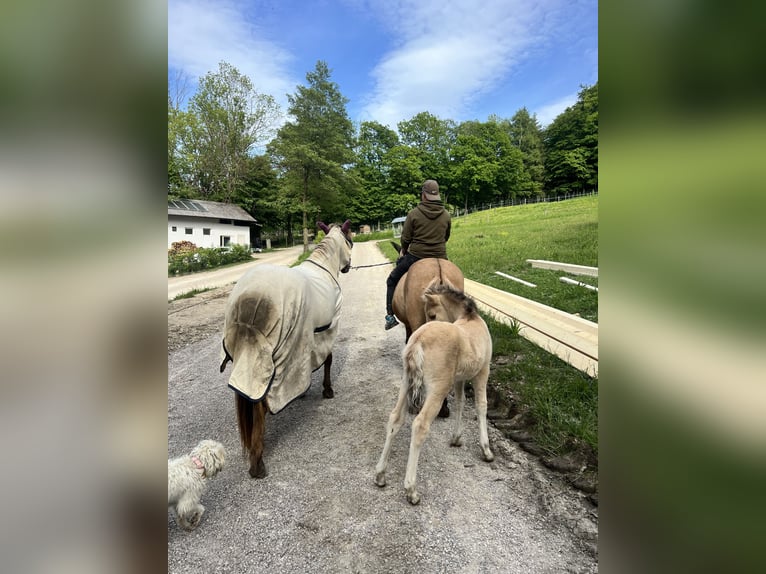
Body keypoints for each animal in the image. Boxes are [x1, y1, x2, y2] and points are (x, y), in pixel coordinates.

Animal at [219, 220, 353, 478]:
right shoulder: (328, 329)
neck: (324, 267)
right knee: (260, 405)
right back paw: (257, 463)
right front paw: (327, 390)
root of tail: (249, 298)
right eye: (350, 238)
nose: (348, 267)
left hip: (247, 358)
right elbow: (328, 360)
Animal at [374, 283, 494, 505]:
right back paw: (411, 490)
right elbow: (481, 405)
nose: (425, 321)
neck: (469, 319)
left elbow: (461, 402)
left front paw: (456, 438)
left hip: (406, 382)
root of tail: (418, 340)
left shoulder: (458, 378)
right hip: (438, 389)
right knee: (420, 425)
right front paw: (486, 450)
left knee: (395, 418)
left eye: (431, 314)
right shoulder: (483, 371)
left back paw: (380, 475)